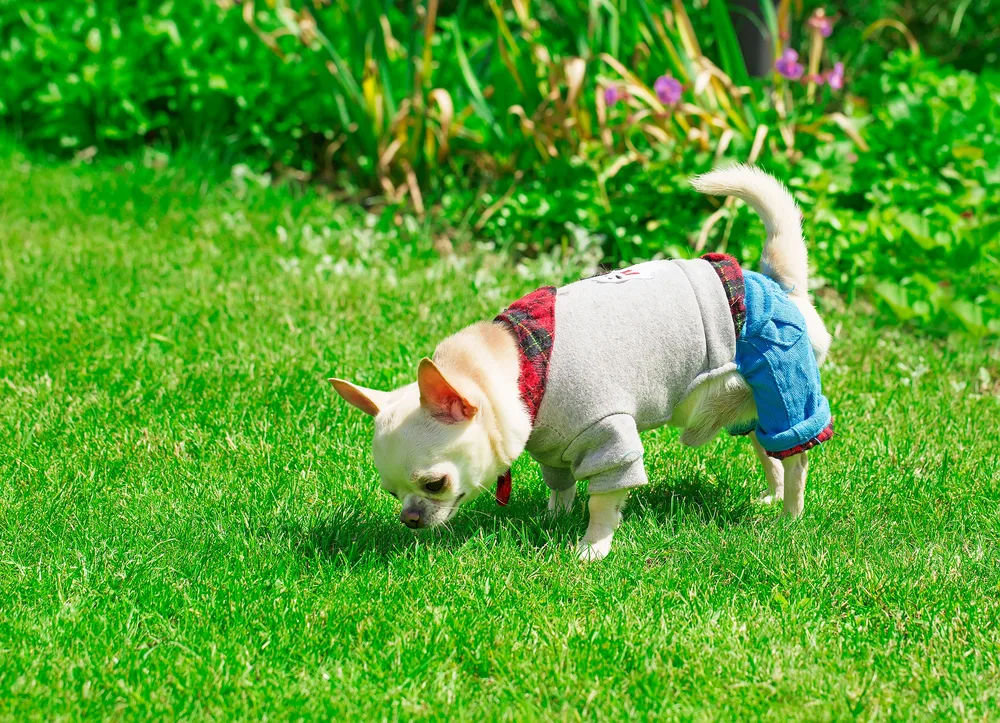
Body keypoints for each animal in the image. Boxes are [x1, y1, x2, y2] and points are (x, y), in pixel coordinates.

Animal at [332, 167, 832, 564]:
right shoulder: (552, 445)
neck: (521, 361)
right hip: (753, 404)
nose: (410, 519)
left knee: (796, 458)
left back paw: (789, 515)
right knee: (768, 450)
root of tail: (775, 282)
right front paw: (553, 516)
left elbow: (603, 502)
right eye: (391, 492)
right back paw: (770, 497)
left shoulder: (609, 438)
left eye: (434, 484)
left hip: (784, 387)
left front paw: (592, 548)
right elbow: (561, 484)